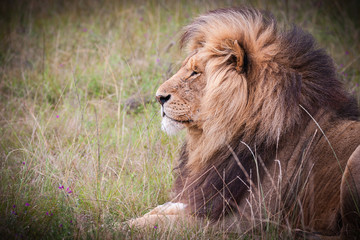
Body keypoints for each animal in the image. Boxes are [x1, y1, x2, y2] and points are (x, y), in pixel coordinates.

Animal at [129, 7, 360, 238]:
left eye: (195, 72)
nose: (159, 97)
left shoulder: (243, 221)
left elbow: (162, 221)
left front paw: (126, 225)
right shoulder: (208, 198)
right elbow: (167, 207)